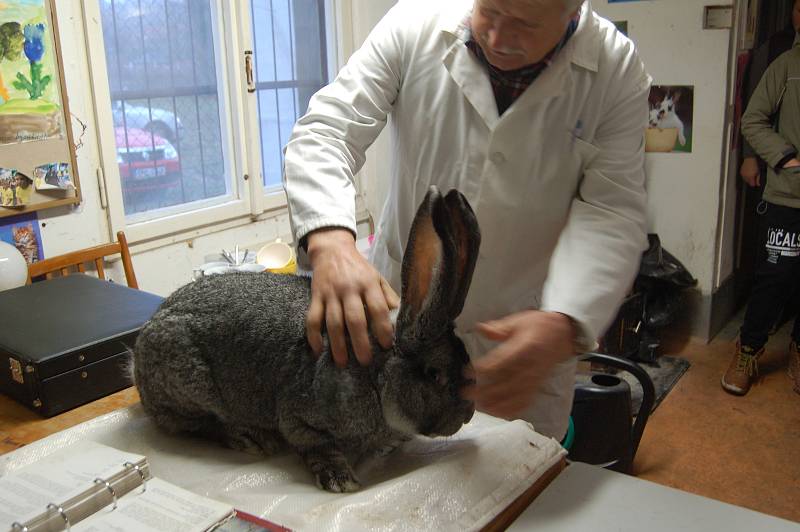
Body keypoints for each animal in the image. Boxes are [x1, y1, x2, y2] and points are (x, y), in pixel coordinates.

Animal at [133, 186, 482, 490]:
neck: (376, 375)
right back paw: (249, 437)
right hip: (189, 385)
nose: (468, 414)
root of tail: (136, 363)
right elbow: (314, 444)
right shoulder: (299, 417)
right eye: (434, 375)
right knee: (190, 423)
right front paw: (339, 479)